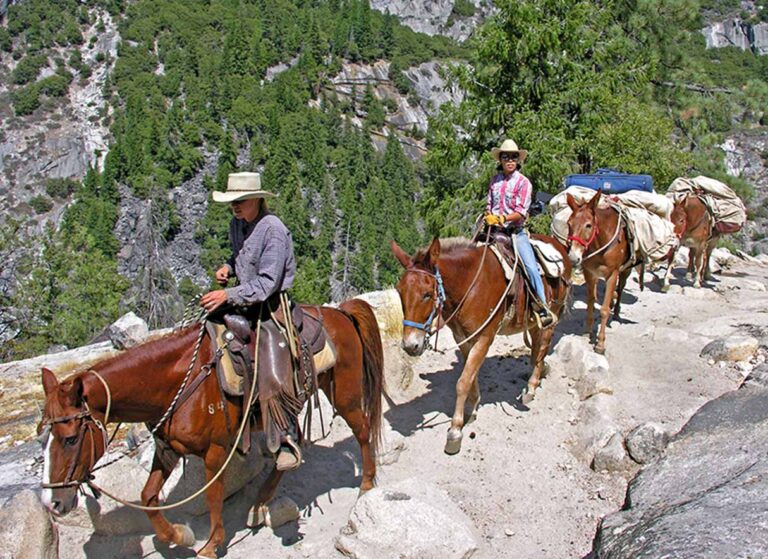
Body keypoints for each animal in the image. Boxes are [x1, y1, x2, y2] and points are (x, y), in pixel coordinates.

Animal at [37, 302, 382, 559]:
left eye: (70, 439)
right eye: (43, 441)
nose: (53, 504)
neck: (178, 383)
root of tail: (340, 313)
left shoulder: (215, 451)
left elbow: (213, 496)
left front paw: (211, 545)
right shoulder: (168, 449)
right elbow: (148, 496)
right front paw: (180, 535)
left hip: (344, 393)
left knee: (363, 430)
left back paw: (366, 485)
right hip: (284, 408)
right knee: (289, 447)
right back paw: (260, 502)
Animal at [392, 234, 568, 458]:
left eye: (426, 294)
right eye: (400, 292)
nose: (410, 345)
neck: (470, 285)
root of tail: (559, 245)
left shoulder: (484, 337)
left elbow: (462, 381)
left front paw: (455, 432)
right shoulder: (463, 337)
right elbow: (470, 375)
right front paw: (472, 408)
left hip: (552, 315)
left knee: (543, 345)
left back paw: (531, 387)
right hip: (533, 322)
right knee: (537, 347)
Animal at [564, 191, 636, 354]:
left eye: (588, 225)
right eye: (569, 224)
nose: (573, 258)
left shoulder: (612, 275)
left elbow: (603, 309)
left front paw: (600, 344)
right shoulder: (590, 273)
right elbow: (591, 301)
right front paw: (587, 331)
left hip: (626, 270)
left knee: (620, 289)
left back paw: (616, 312)